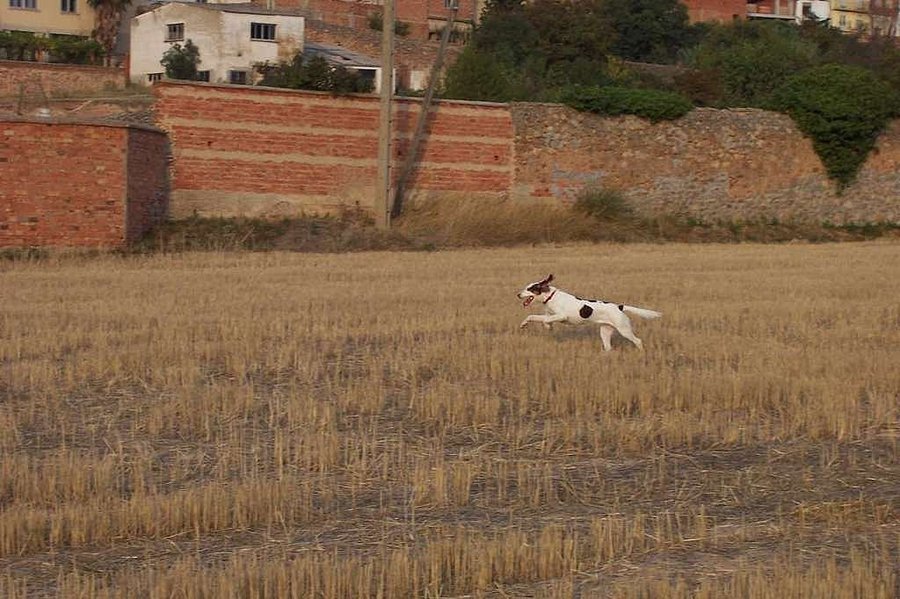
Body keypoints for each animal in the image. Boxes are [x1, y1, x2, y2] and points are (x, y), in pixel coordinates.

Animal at [512, 276, 660, 352]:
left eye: (530, 289)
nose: (518, 294)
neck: (550, 297)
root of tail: (619, 306)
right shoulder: (549, 315)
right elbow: (534, 317)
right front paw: (525, 324)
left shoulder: (562, 316)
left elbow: (544, 320)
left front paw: (547, 326)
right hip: (605, 331)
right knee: (608, 347)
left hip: (624, 329)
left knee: (638, 341)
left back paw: (641, 352)